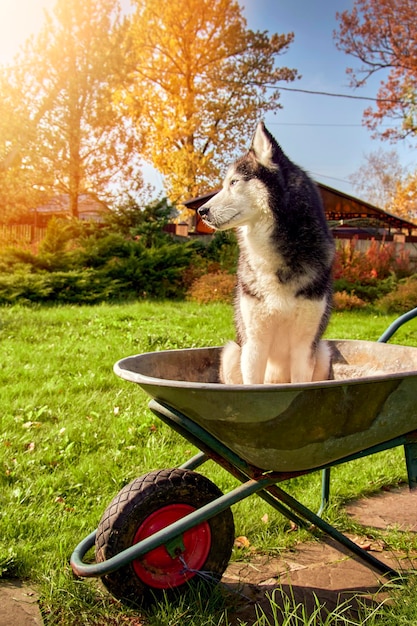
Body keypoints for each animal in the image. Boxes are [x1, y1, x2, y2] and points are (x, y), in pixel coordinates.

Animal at [197, 120, 334, 386]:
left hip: (322, 351)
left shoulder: (304, 347)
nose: (201, 211)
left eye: (234, 182)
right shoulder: (254, 344)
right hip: (233, 351)